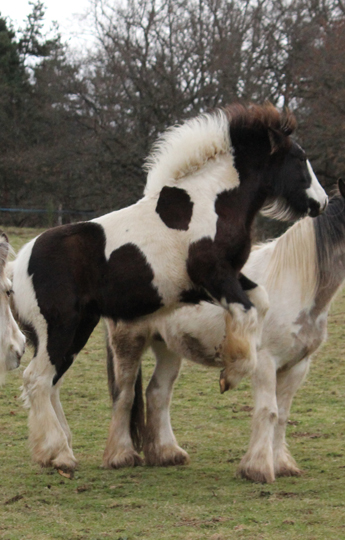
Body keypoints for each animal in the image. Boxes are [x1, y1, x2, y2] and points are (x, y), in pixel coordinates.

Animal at [12, 103, 326, 470]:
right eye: (299, 158)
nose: (321, 203)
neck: (211, 202)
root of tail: (18, 265)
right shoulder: (215, 277)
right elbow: (248, 311)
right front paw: (231, 374)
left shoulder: (221, 280)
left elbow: (259, 301)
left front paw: (233, 357)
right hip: (59, 329)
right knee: (36, 380)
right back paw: (59, 454)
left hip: (77, 331)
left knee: (51, 384)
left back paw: (57, 450)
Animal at [106, 180, 344, 480]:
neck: (297, 283)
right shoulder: (265, 362)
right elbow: (268, 411)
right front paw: (258, 468)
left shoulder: (297, 365)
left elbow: (283, 413)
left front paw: (282, 465)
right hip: (129, 341)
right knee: (124, 395)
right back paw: (121, 456)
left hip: (169, 348)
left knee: (157, 393)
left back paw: (167, 454)